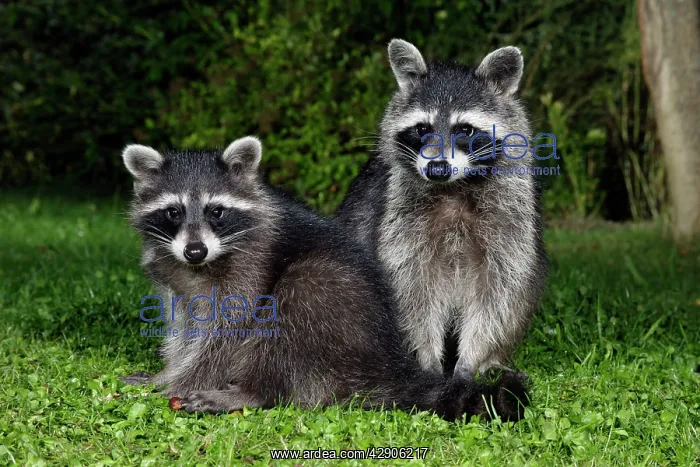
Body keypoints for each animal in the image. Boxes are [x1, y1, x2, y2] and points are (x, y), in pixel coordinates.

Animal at [119, 136, 528, 420]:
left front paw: (183, 381)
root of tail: (382, 363)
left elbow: (228, 332)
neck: (203, 264)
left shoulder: (252, 265)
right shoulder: (176, 280)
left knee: (289, 314)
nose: (195, 250)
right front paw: (167, 372)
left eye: (216, 211)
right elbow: (185, 328)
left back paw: (251, 392)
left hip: (328, 304)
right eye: (173, 212)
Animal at [337, 40, 547, 381]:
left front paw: (470, 362)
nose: (437, 169)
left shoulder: (509, 217)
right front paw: (428, 360)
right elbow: (412, 292)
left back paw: (493, 359)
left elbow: (497, 293)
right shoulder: (399, 220)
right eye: (422, 128)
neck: (453, 188)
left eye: (465, 129)